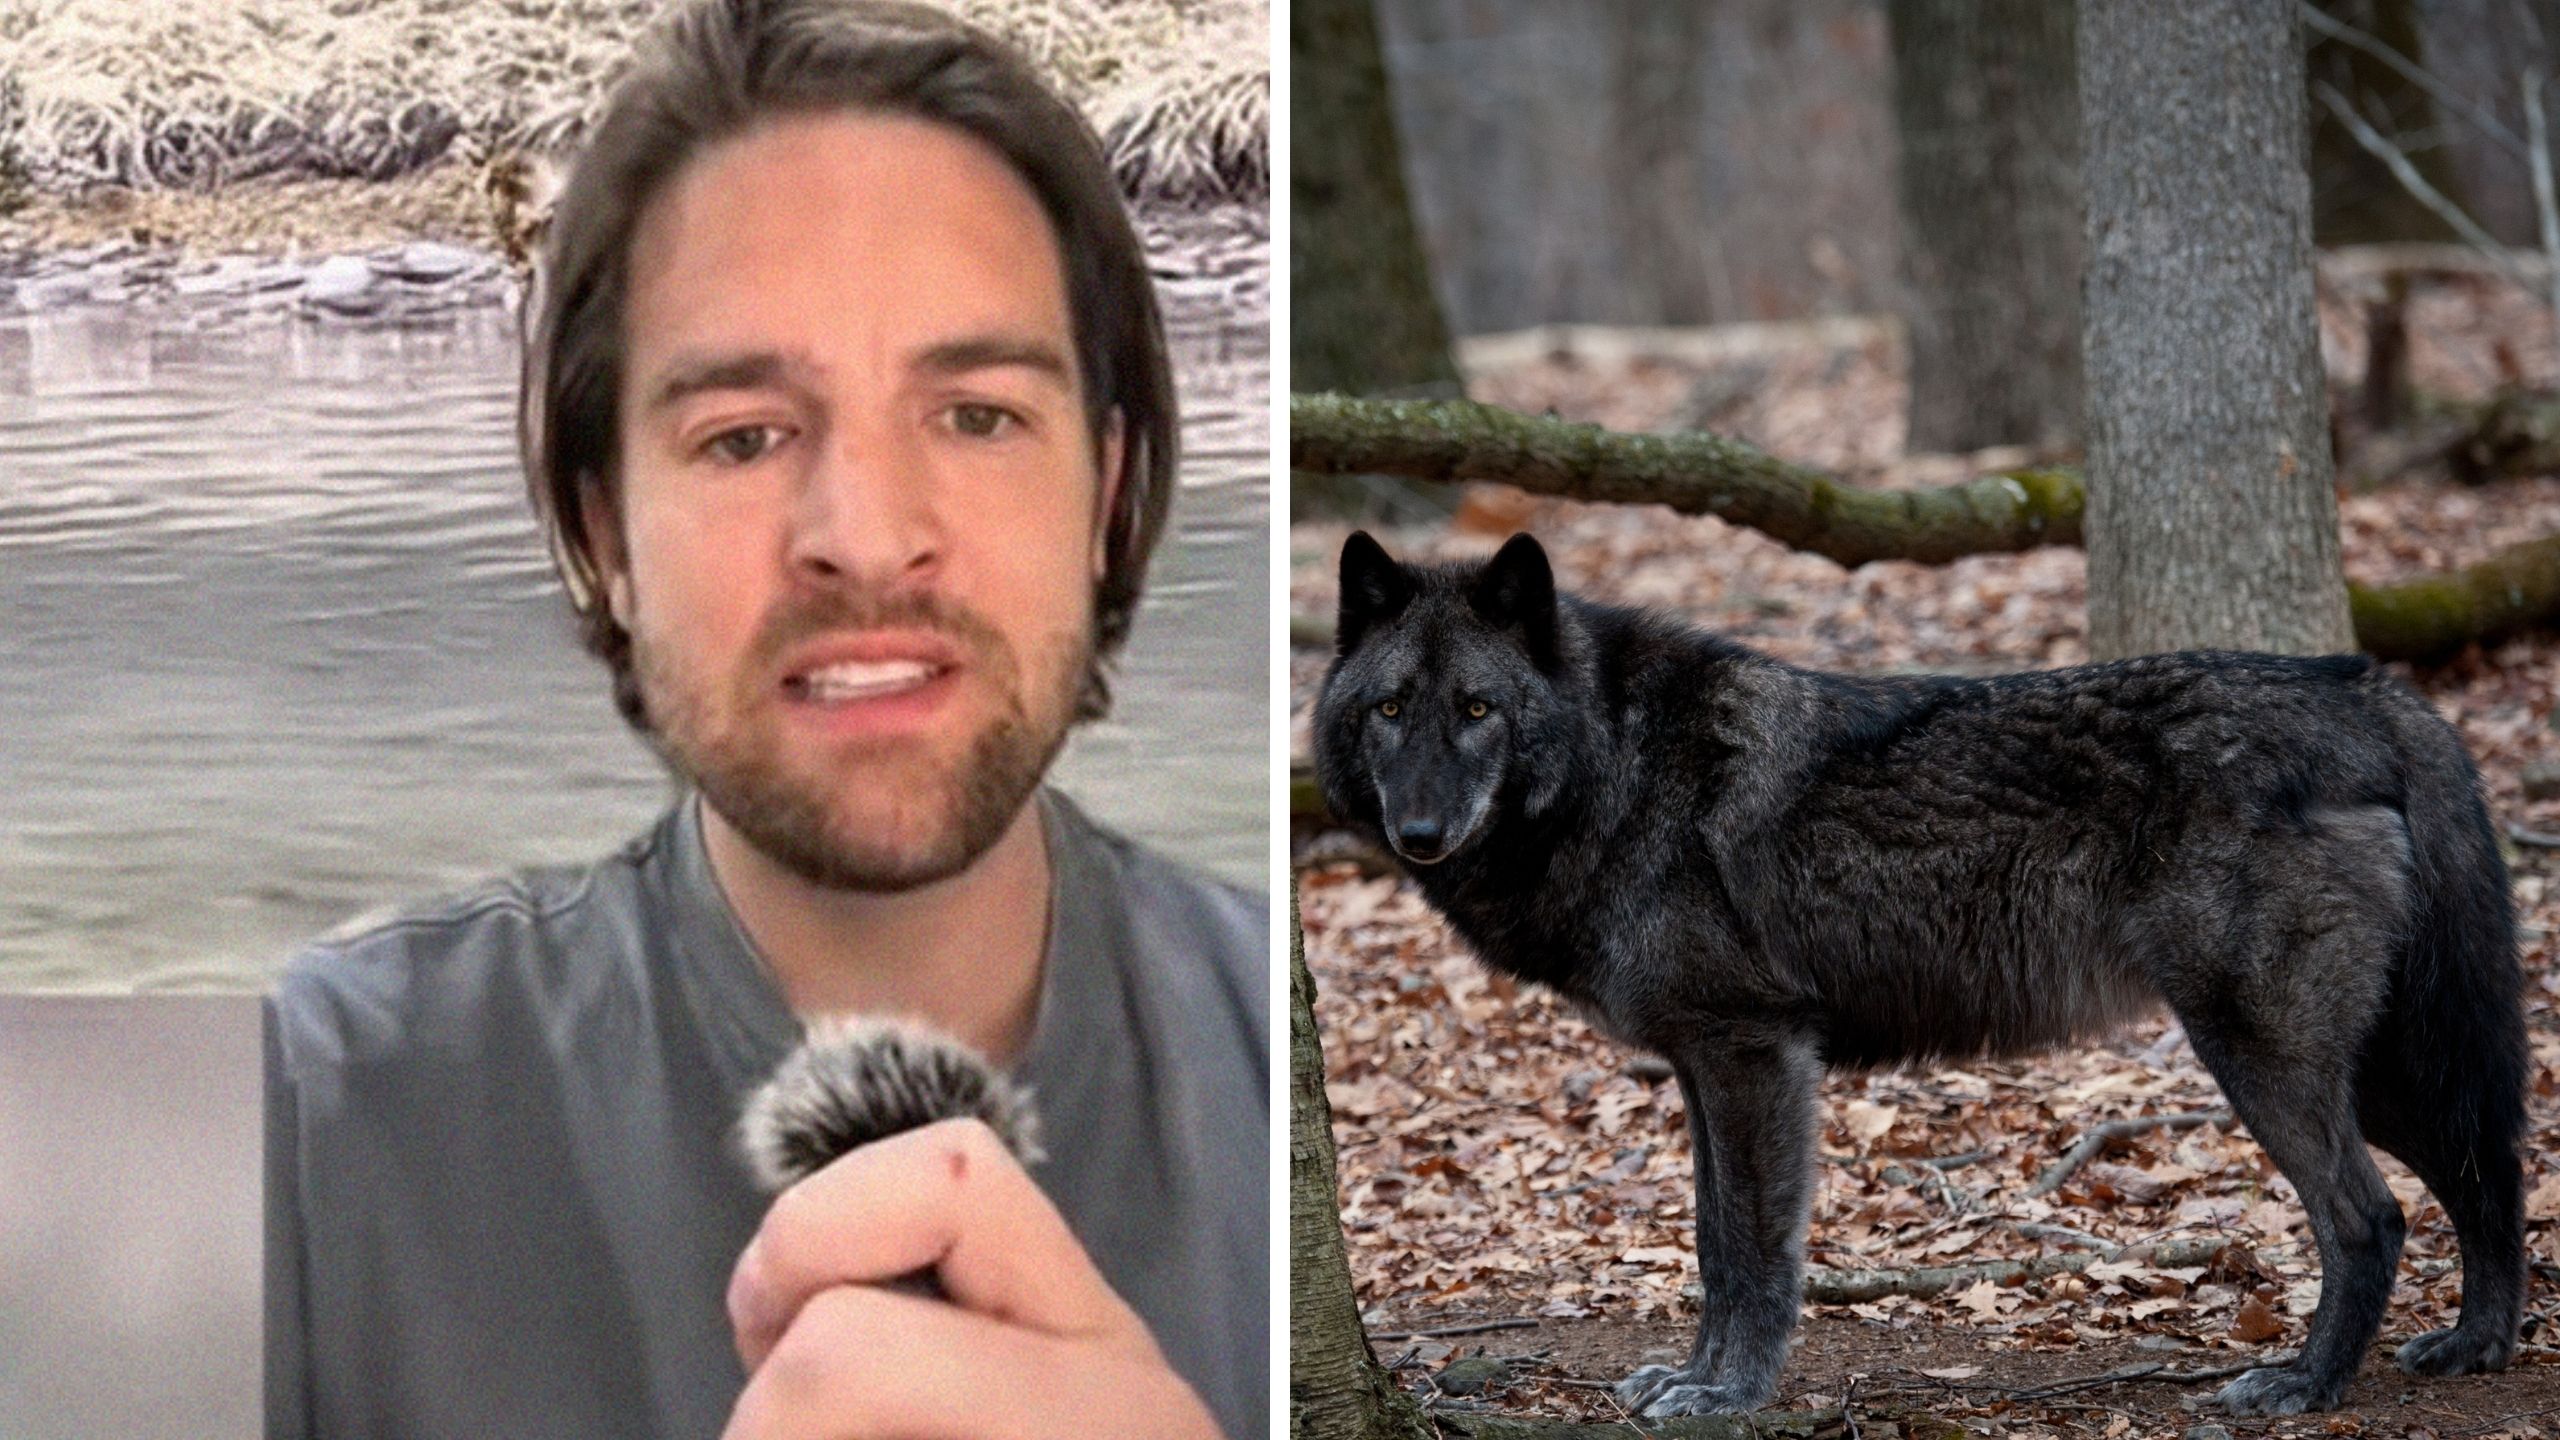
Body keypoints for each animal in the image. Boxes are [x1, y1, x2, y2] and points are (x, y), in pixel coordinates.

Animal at [1311, 530, 2529, 1418]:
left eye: (1478, 710)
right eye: (1389, 709)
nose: (1419, 833)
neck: (1618, 764)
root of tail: (2363, 687)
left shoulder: (1752, 1057)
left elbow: (1751, 1250)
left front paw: (1726, 1395)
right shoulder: (1709, 1069)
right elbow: (1710, 1240)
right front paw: (1692, 1378)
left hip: (2261, 1053)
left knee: (2369, 1217)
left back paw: (2304, 1386)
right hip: (2382, 1067)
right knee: (2485, 1174)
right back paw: (2475, 1345)